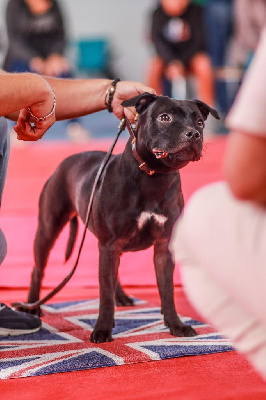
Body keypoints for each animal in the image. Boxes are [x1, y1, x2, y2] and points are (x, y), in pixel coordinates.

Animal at [26, 92, 219, 342]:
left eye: (200, 122)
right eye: (164, 117)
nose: (194, 133)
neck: (155, 177)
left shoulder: (162, 247)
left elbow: (167, 291)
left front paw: (176, 325)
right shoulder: (109, 244)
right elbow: (104, 294)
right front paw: (102, 329)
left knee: (112, 273)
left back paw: (122, 296)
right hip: (49, 227)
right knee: (38, 268)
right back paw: (32, 306)